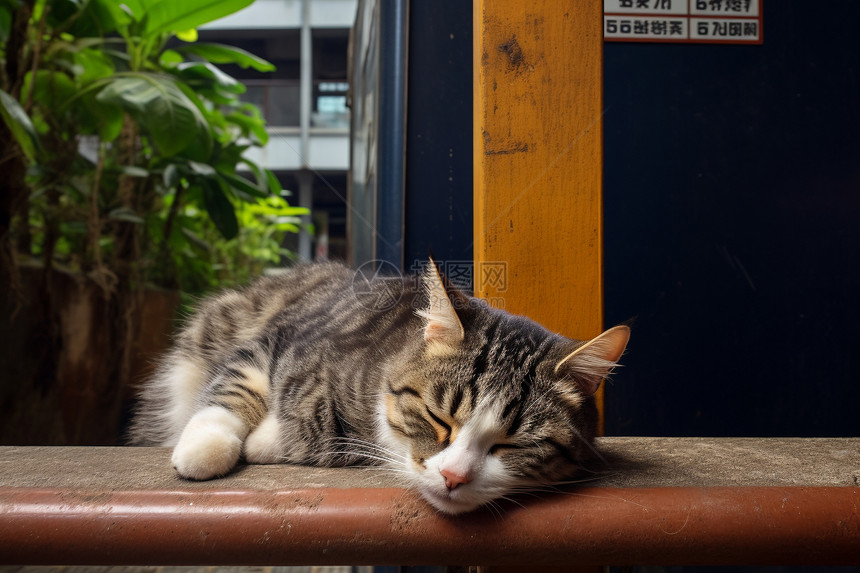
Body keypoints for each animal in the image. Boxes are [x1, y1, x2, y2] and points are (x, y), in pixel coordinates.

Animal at [133, 260, 632, 512]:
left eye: (512, 444)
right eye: (438, 418)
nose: (453, 477)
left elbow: (316, 433)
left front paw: (266, 439)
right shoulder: (276, 341)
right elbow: (233, 390)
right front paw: (205, 446)